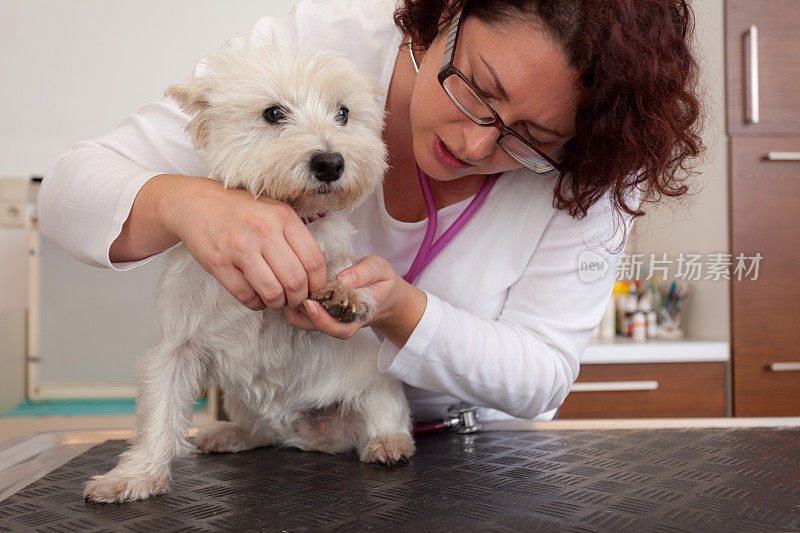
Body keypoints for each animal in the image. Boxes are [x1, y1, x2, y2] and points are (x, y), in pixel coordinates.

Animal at [84, 43, 416, 500]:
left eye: (343, 113)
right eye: (273, 113)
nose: (331, 162)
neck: (297, 215)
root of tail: (308, 436)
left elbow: (339, 265)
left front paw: (343, 294)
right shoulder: (177, 345)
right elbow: (159, 414)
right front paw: (132, 477)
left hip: (375, 385)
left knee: (385, 413)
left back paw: (388, 444)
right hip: (241, 401)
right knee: (259, 431)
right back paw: (224, 434)